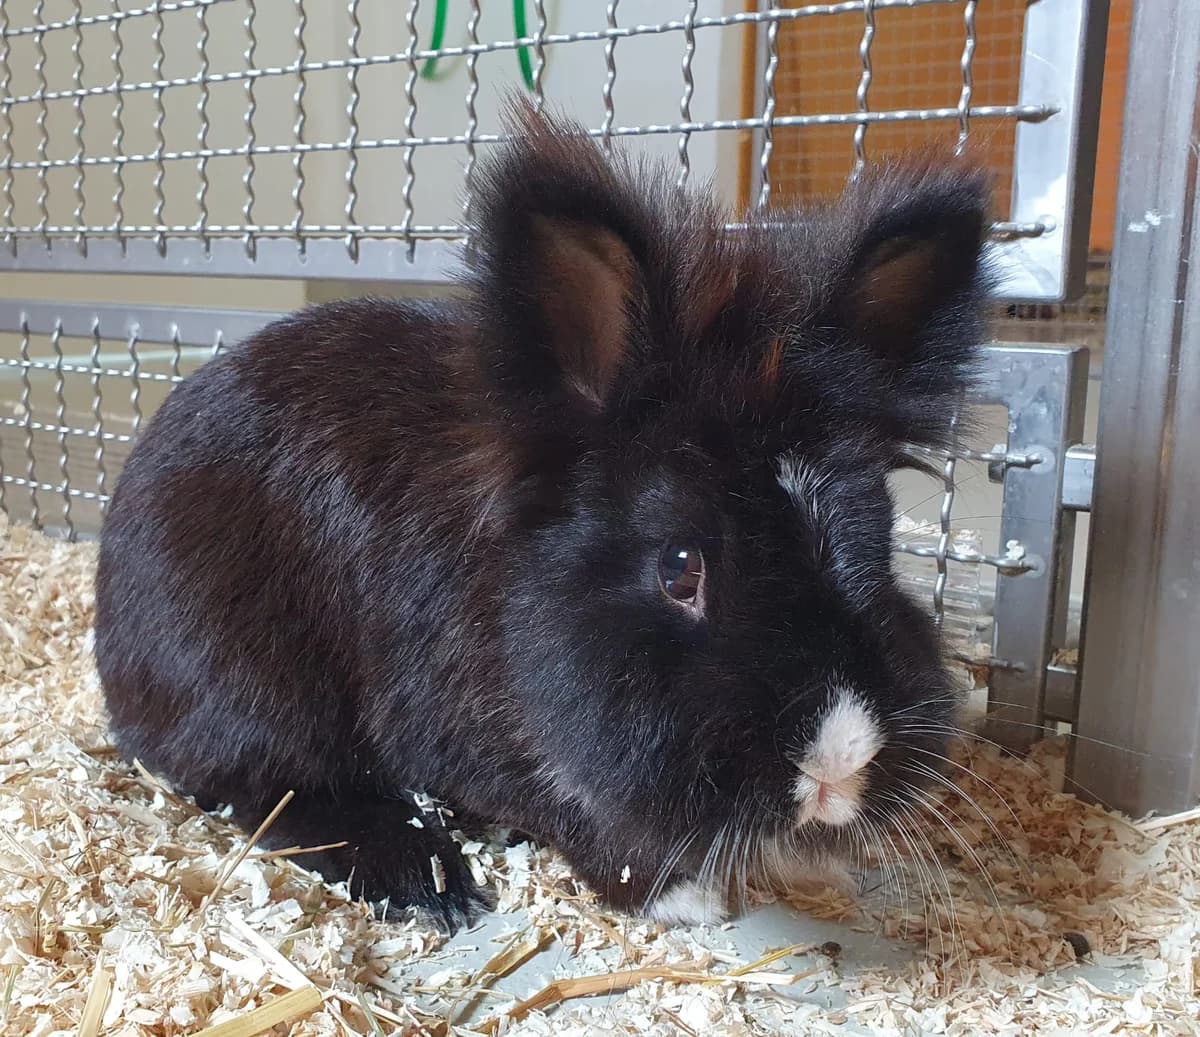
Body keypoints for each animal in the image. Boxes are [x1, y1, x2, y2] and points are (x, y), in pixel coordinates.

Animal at [94, 101, 993, 933]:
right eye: (679, 566)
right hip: (245, 688)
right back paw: (424, 876)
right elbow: (579, 813)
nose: (840, 760)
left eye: (880, 537)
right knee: (264, 793)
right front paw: (685, 896)